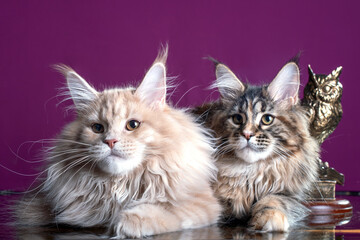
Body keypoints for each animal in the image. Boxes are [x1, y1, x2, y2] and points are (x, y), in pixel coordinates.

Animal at [16, 50, 221, 238]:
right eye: (97, 128)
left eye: (132, 125)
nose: (110, 141)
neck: (121, 185)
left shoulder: (203, 202)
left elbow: (167, 209)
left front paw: (128, 222)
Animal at [194, 59, 320, 232]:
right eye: (237, 119)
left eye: (267, 119)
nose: (247, 134)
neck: (249, 173)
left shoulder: (289, 196)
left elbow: (274, 201)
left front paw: (270, 218)